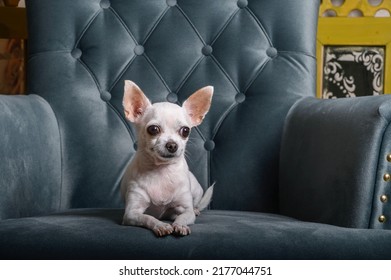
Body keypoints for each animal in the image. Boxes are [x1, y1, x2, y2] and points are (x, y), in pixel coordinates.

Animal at [121, 80, 214, 236]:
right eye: (153, 129)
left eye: (185, 131)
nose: (172, 145)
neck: (161, 170)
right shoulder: (131, 213)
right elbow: (148, 218)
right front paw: (161, 225)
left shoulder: (184, 210)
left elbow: (183, 216)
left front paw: (180, 225)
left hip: (196, 190)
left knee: (195, 205)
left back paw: (196, 209)